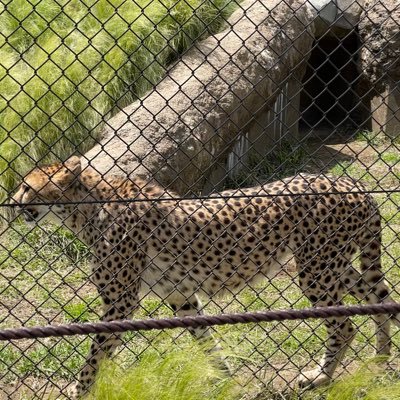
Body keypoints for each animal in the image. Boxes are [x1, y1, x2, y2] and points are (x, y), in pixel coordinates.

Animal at [10, 156, 398, 396]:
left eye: (27, 187)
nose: (12, 202)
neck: (88, 207)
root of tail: (354, 183)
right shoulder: (180, 295)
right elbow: (206, 340)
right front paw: (226, 381)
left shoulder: (121, 301)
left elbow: (95, 354)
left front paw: (79, 391)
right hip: (334, 267)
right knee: (381, 302)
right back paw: (379, 363)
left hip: (317, 270)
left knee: (344, 325)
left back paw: (321, 377)